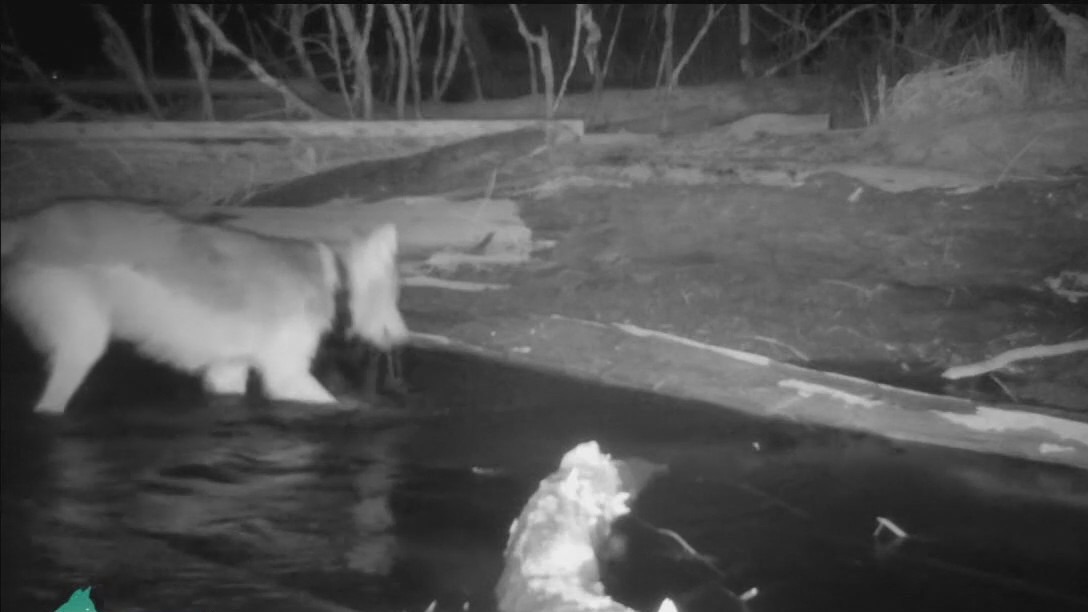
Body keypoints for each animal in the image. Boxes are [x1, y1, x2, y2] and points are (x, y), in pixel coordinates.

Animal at [1, 199, 410, 414]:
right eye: (395, 295)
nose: (406, 338)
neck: (332, 278)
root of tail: (26, 225)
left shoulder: (227, 370)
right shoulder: (286, 374)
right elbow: (335, 403)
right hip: (81, 343)